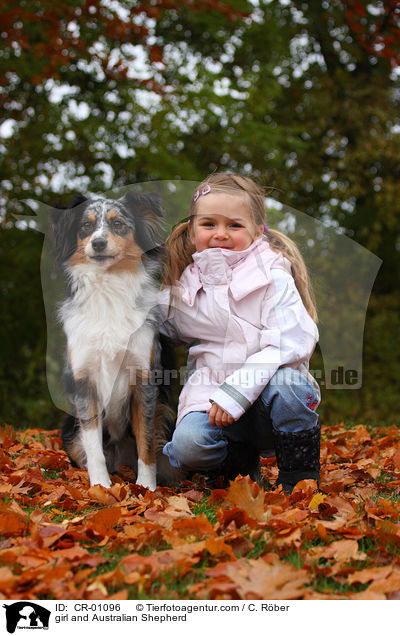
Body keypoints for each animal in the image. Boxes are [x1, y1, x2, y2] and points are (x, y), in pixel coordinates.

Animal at [51, 191, 180, 490]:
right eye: (85, 226)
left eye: (118, 224)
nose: (98, 243)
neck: (108, 286)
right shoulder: (84, 381)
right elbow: (93, 445)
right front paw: (100, 487)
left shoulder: (145, 378)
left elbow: (146, 441)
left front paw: (146, 488)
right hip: (68, 430)